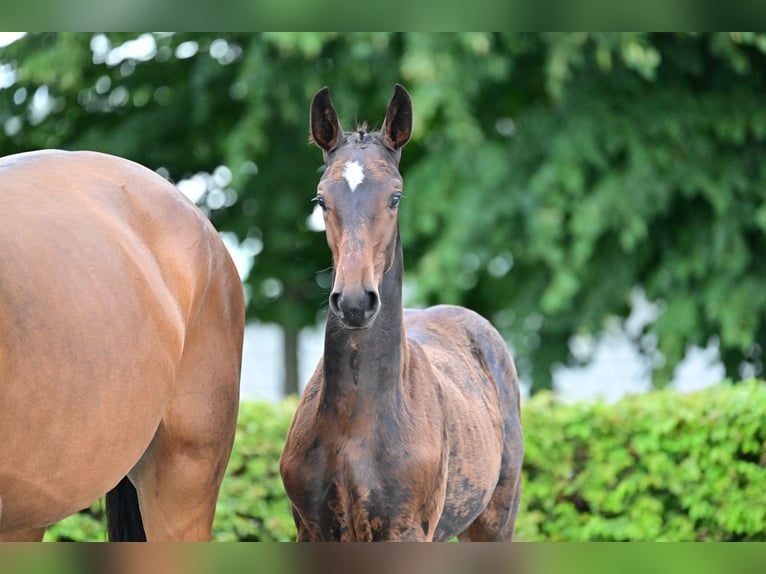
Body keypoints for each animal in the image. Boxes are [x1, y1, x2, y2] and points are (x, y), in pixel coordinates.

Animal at [282, 83, 528, 544]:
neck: (356, 422)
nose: (355, 302)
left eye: (395, 196)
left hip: (495, 519)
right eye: (321, 199)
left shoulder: (407, 531)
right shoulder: (312, 529)